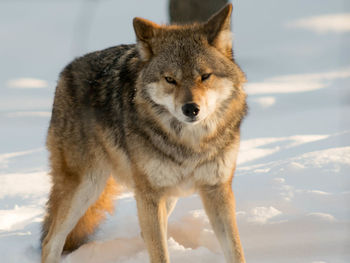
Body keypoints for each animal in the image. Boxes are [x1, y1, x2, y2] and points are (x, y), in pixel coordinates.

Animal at [41, 4, 247, 263]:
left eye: (205, 76)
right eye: (170, 79)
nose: (191, 108)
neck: (190, 143)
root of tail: (66, 71)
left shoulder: (217, 190)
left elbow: (235, 250)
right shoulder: (150, 195)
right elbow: (159, 254)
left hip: (164, 197)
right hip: (86, 187)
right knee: (50, 242)